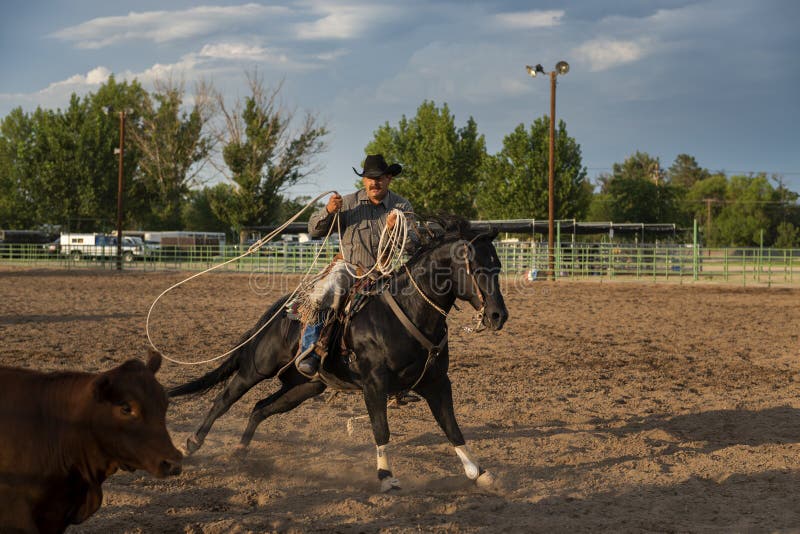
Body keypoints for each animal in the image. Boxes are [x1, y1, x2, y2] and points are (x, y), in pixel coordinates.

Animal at [170, 216, 510, 492]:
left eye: (498, 267)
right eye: (478, 268)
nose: (498, 316)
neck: (409, 312)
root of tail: (282, 309)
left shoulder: (437, 382)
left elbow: (451, 426)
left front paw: (479, 472)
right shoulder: (374, 385)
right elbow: (381, 428)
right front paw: (386, 477)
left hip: (304, 386)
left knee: (260, 408)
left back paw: (240, 453)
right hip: (258, 368)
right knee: (225, 398)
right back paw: (192, 444)